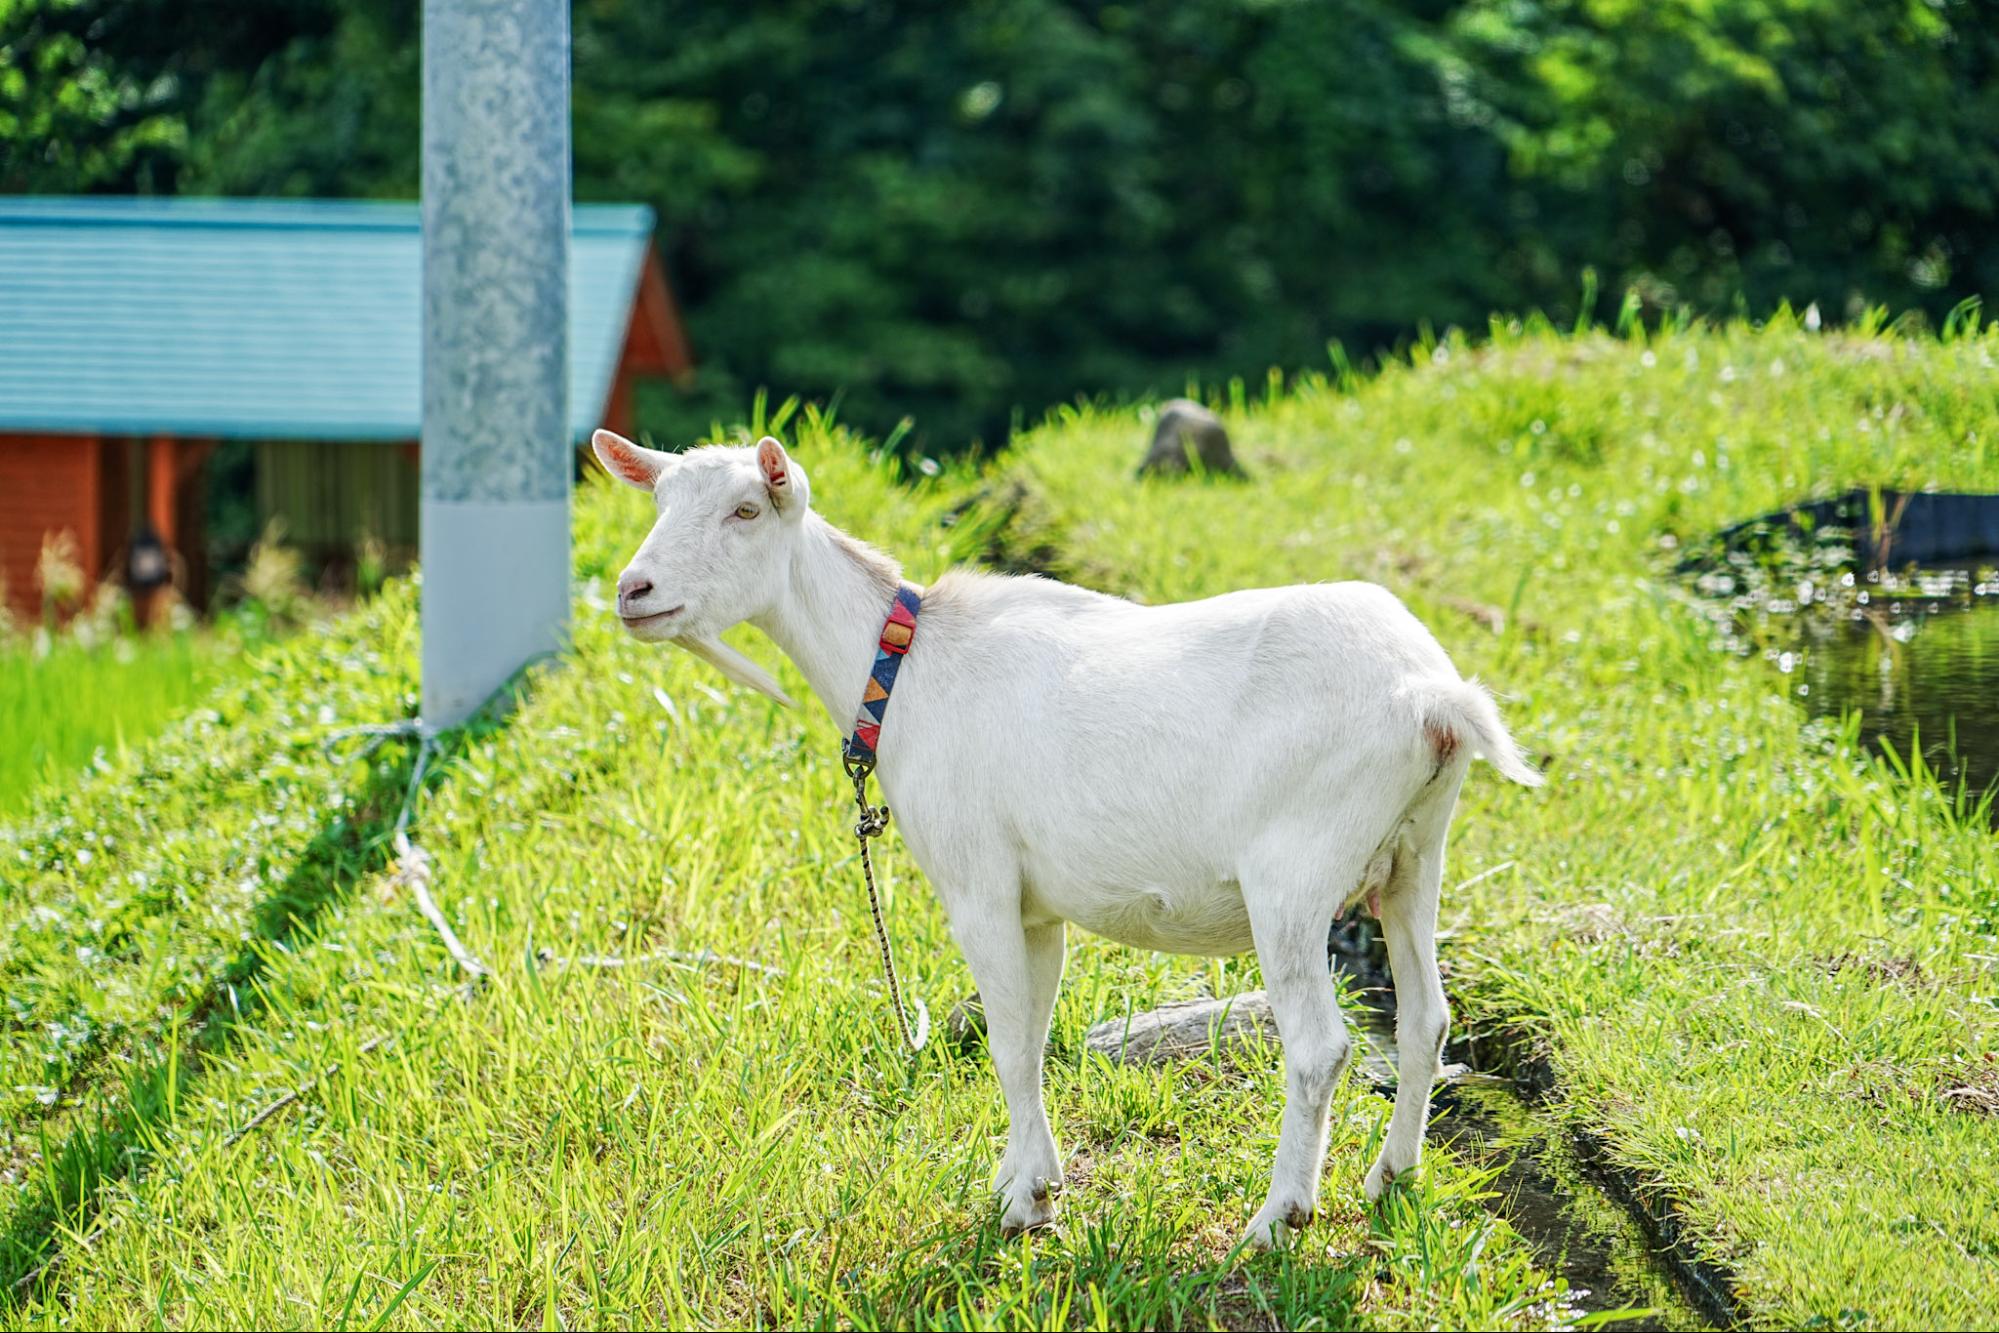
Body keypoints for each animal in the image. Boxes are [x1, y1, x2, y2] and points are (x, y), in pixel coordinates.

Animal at [595, 429, 1543, 1255]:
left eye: (746, 509)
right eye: (660, 500)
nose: (633, 590)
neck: (904, 666)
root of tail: (1432, 696)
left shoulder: (976, 882)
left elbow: (1008, 1040)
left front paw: (1028, 1203)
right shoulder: (1034, 905)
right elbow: (1034, 1027)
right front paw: (1022, 1178)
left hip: (1293, 873)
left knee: (1319, 1047)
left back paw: (1278, 1218)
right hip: (1414, 855)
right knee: (1424, 1016)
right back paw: (1392, 1176)